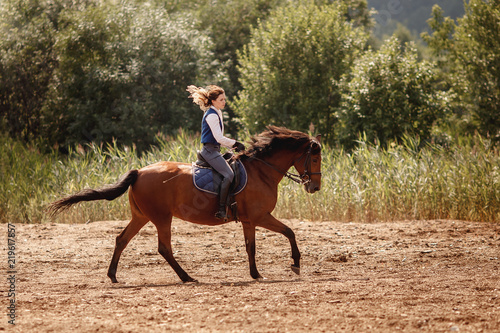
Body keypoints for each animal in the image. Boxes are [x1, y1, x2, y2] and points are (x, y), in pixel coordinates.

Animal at [48, 126, 322, 282]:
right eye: (315, 158)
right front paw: (296, 264)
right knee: (163, 248)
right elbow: (289, 231)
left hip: (141, 216)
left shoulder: (249, 220)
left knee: (121, 239)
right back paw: (187, 277)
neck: (261, 171)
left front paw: (256, 274)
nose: (315, 187)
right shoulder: (260, 216)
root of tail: (139, 171)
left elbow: (251, 247)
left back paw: (113, 276)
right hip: (161, 218)